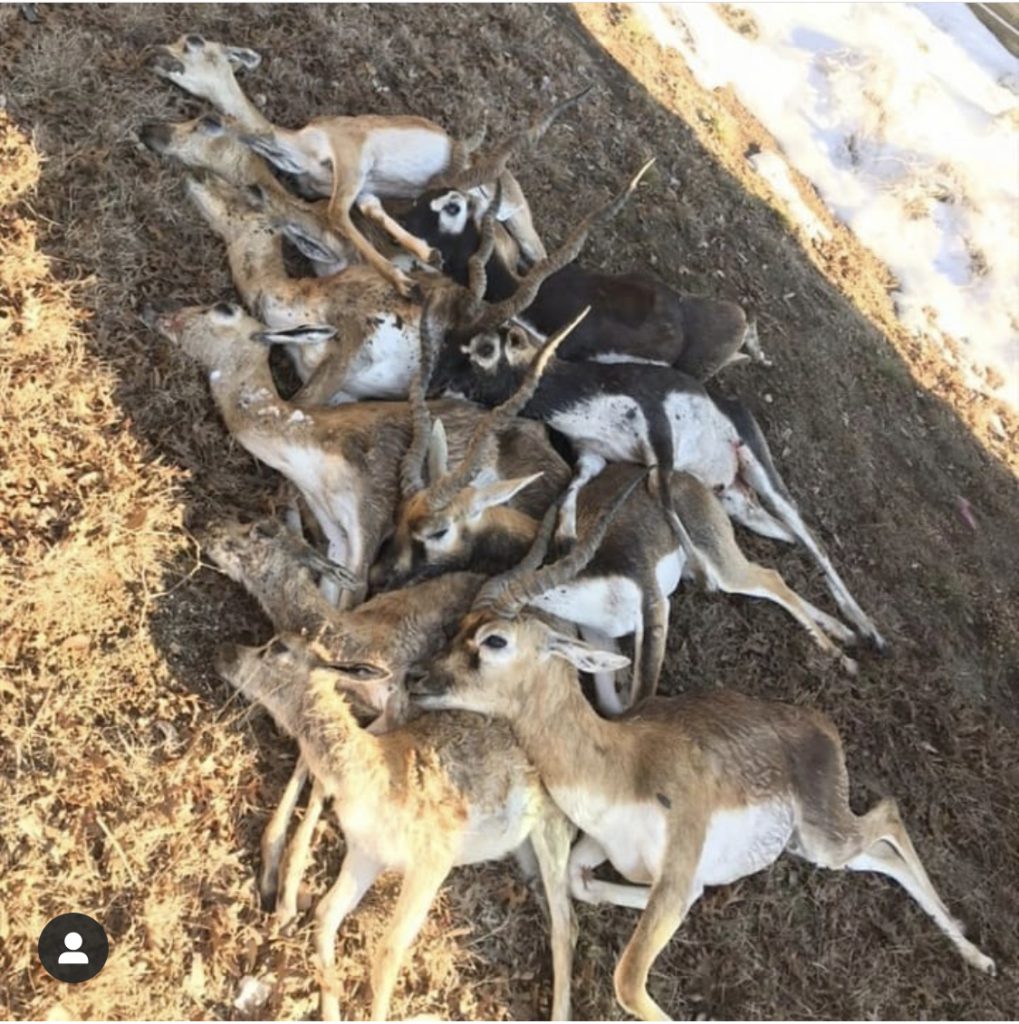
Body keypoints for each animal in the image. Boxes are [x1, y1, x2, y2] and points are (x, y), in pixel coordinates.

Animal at [411, 520, 995, 1024]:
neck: (618, 761)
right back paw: (972, 951)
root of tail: (820, 722)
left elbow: (628, 980)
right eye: (458, 626)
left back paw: (980, 956)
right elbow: (585, 884)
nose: (418, 678)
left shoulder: (678, 858)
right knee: (883, 854)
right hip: (808, 849)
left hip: (827, 837)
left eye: (494, 640)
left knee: (891, 814)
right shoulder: (605, 849)